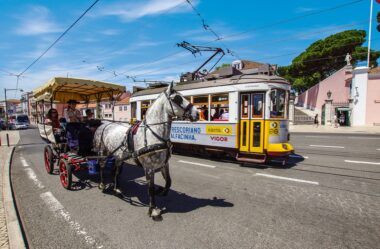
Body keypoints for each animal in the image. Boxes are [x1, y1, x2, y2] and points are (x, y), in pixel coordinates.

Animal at [93, 82, 199, 219]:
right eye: (177, 99)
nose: (197, 113)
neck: (153, 133)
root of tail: (104, 124)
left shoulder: (164, 164)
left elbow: (168, 182)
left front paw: (161, 191)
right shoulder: (149, 167)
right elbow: (150, 188)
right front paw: (153, 209)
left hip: (119, 156)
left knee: (116, 171)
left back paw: (117, 188)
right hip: (102, 153)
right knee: (101, 166)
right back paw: (102, 184)